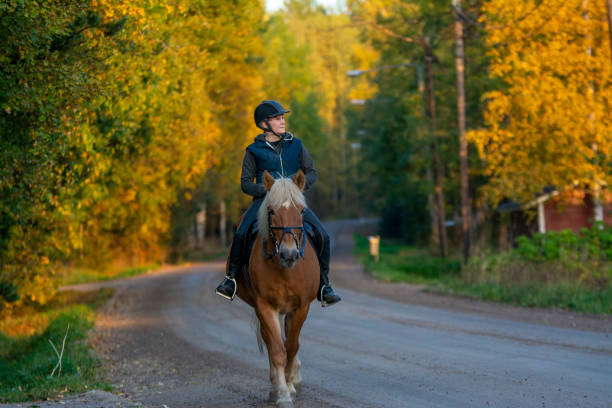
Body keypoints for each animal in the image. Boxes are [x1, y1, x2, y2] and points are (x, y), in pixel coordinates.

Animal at [228, 169, 318, 408]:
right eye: (271, 210)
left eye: (301, 210)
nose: (289, 254)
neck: (284, 268)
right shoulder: (265, 306)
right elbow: (277, 349)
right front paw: (283, 393)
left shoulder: (301, 307)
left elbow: (292, 345)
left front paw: (291, 384)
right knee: (272, 342)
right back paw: (276, 386)